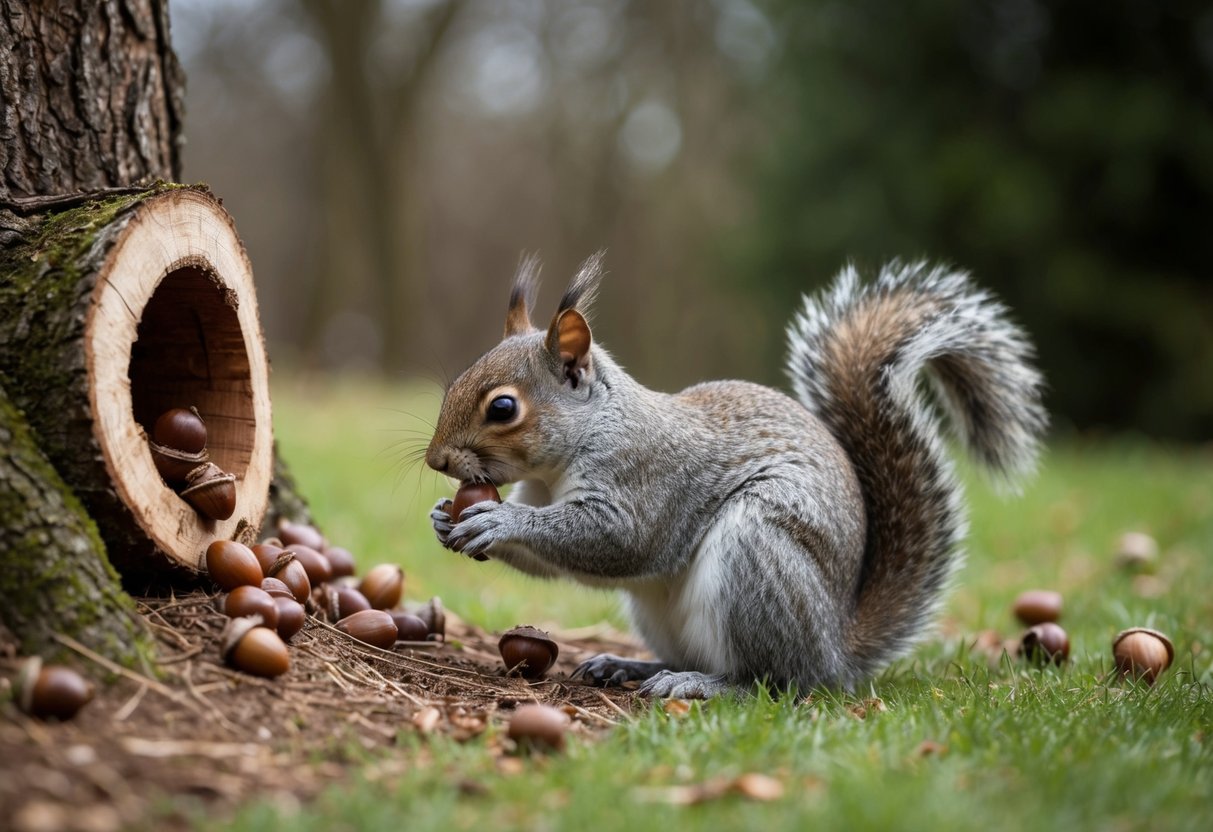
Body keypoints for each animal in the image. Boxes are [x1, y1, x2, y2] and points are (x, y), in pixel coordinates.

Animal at [426, 254, 1047, 698]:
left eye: (503, 408)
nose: (436, 462)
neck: (574, 449)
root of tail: (837, 649)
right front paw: (443, 518)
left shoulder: (647, 477)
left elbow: (620, 540)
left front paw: (501, 520)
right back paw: (629, 665)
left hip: (758, 553)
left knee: (777, 681)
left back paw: (705, 685)